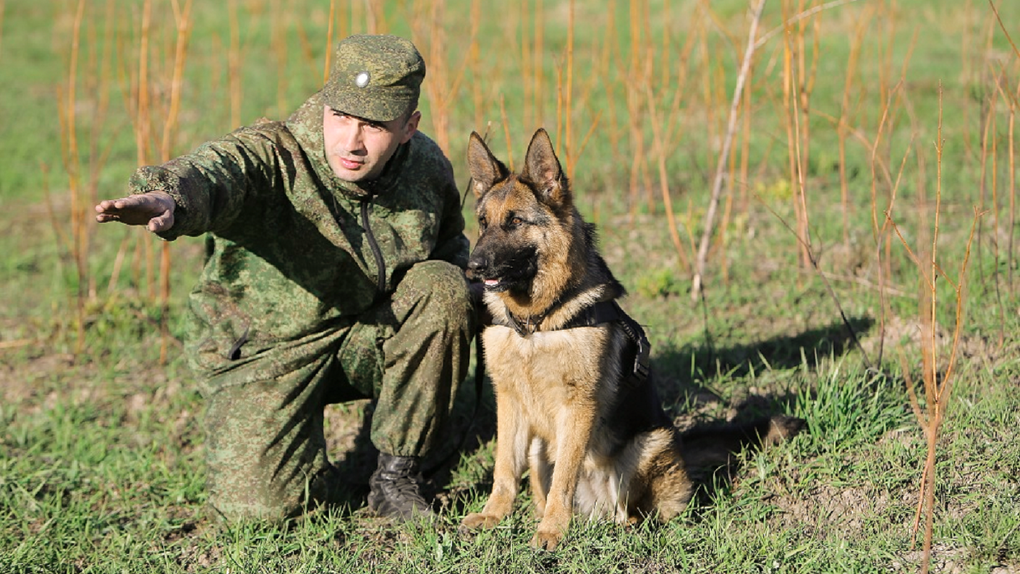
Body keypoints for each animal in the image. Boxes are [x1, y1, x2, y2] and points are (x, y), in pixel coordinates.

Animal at [459, 127, 799, 550]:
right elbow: (504, 468)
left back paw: (625, 527)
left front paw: (552, 530)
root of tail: (598, 510)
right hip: (541, 447)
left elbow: (564, 477)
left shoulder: (579, 406)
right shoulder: (509, 402)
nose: (472, 267)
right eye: (483, 222)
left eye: (515, 221)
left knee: (640, 511)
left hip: (649, 444)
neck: (537, 322)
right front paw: (494, 515)